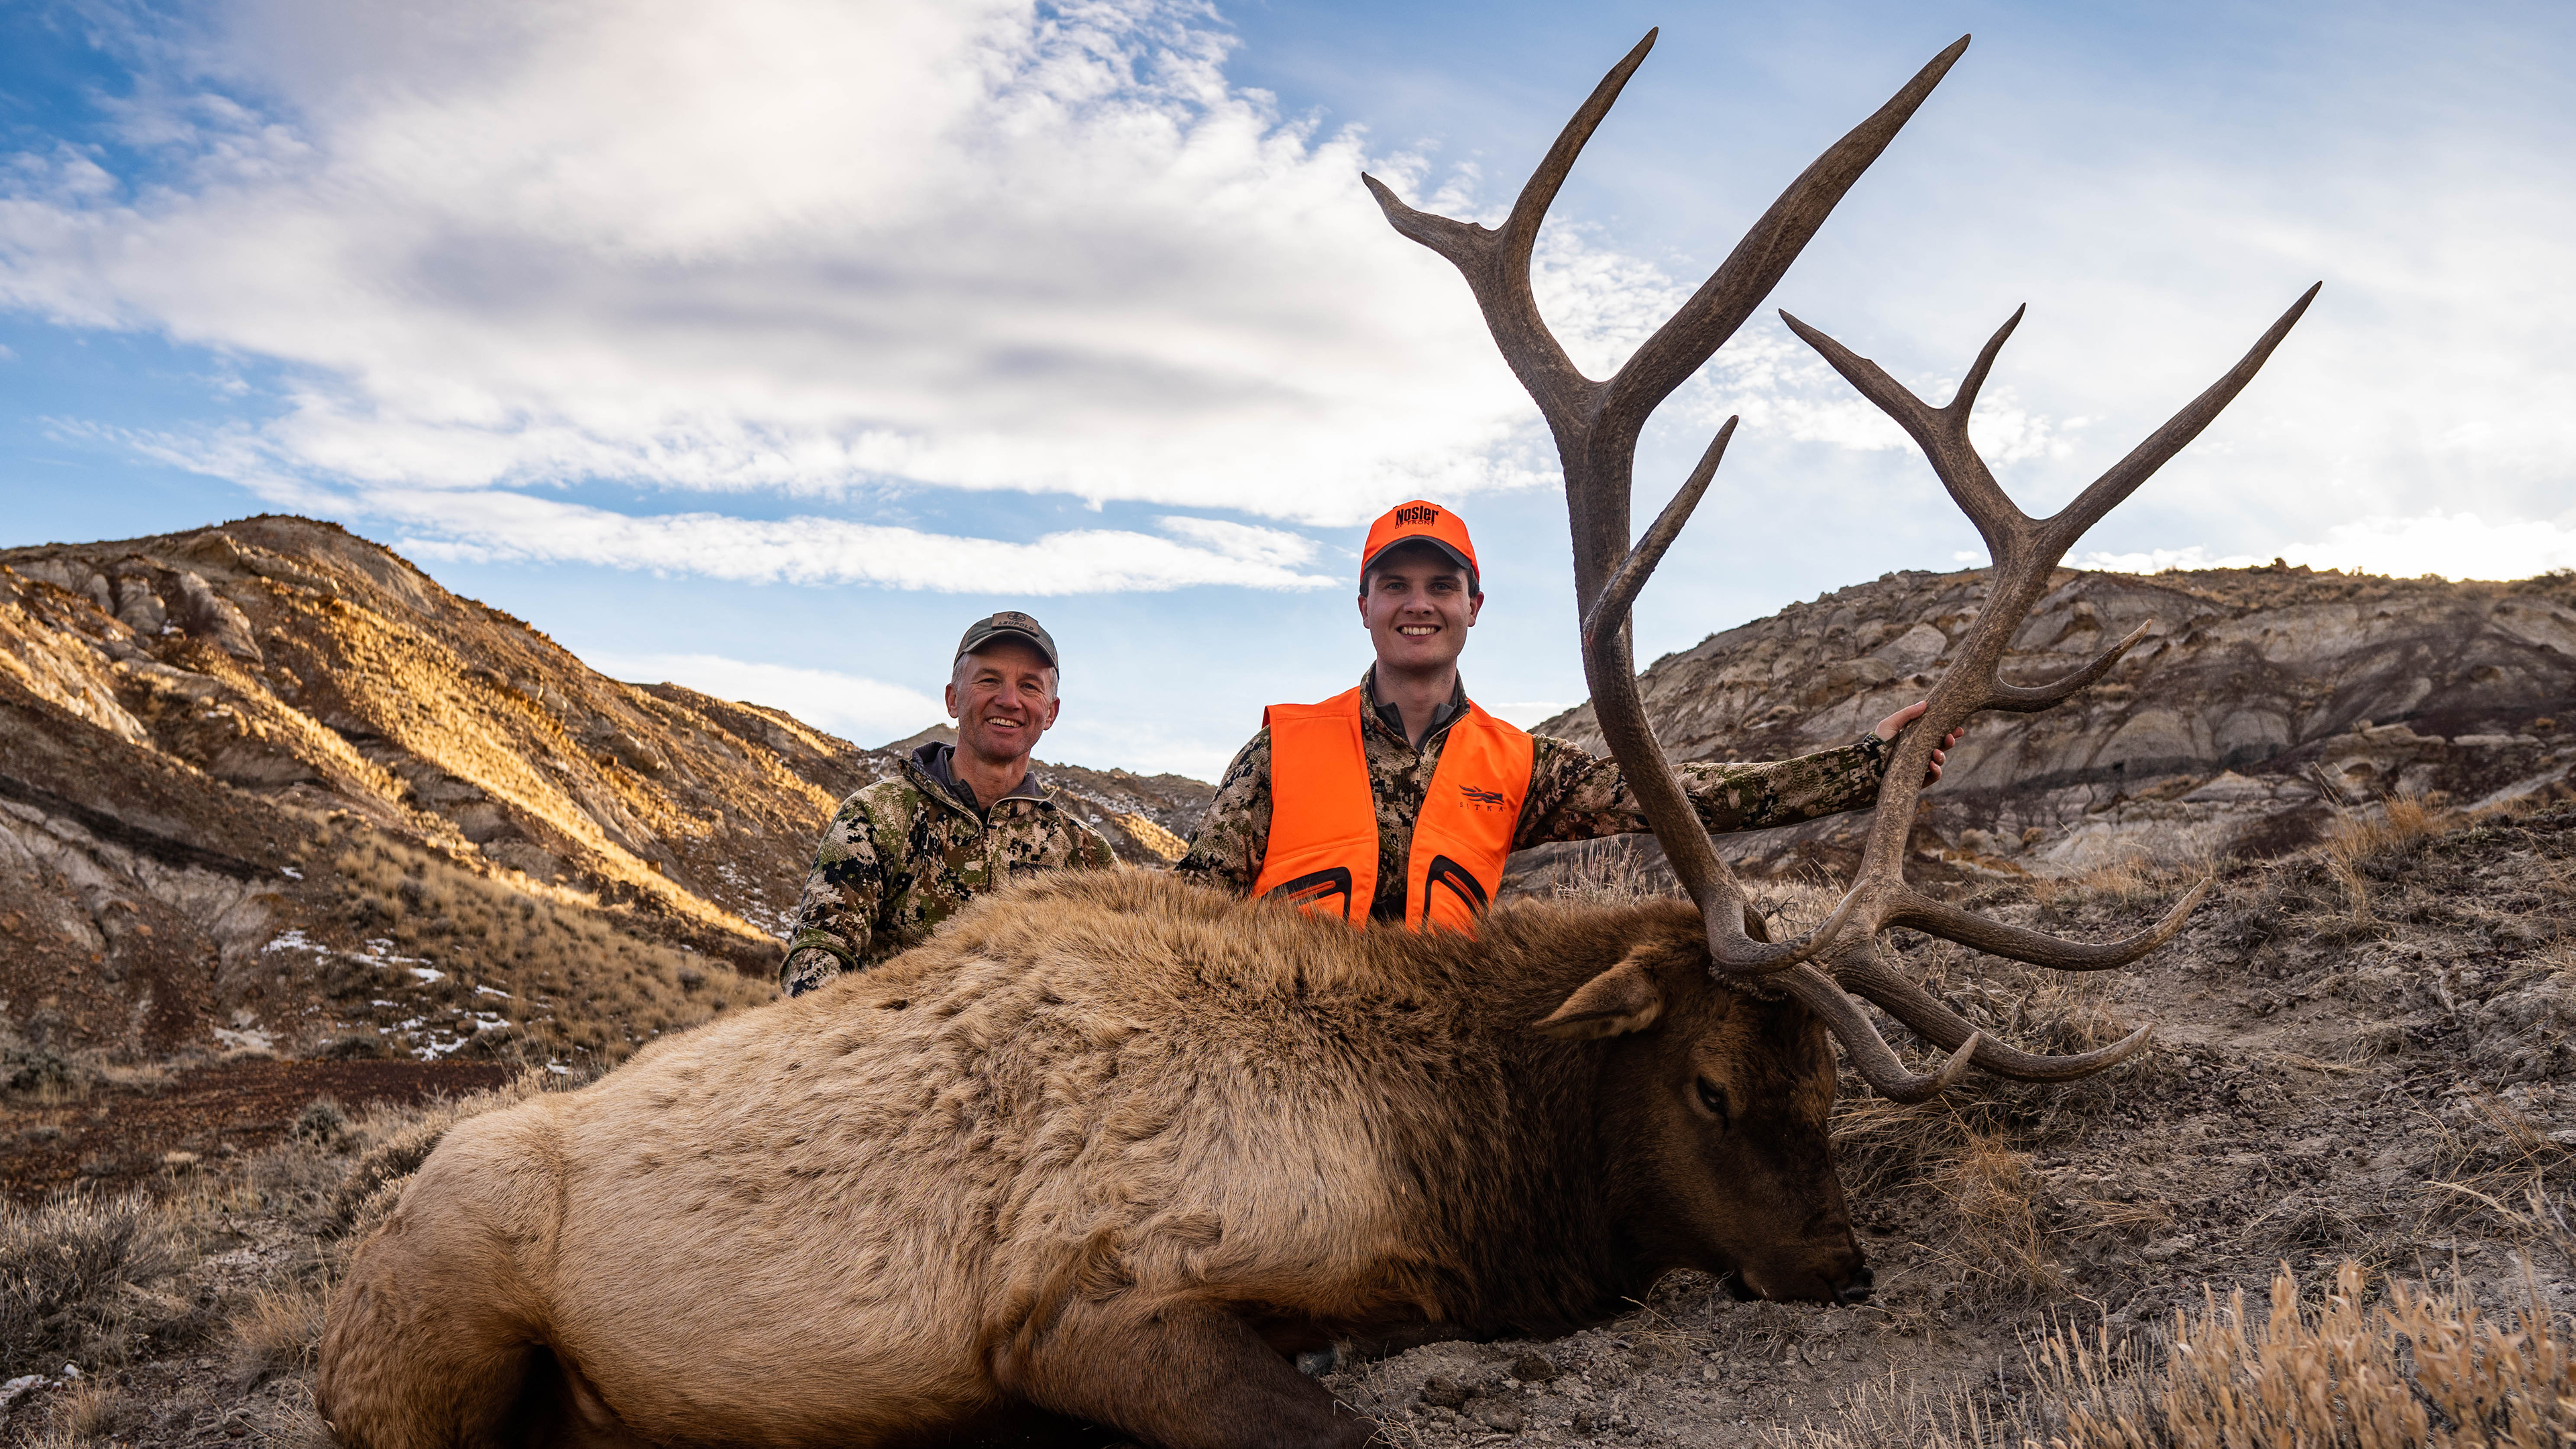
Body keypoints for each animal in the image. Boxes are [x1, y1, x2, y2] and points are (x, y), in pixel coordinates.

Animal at [313, 30, 2310, 1449]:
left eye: (1830, 1083)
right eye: (1712, 1086)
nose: (1837, 1263)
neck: (1454, 1157)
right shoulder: (1089, 1294)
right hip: (435, 1310)